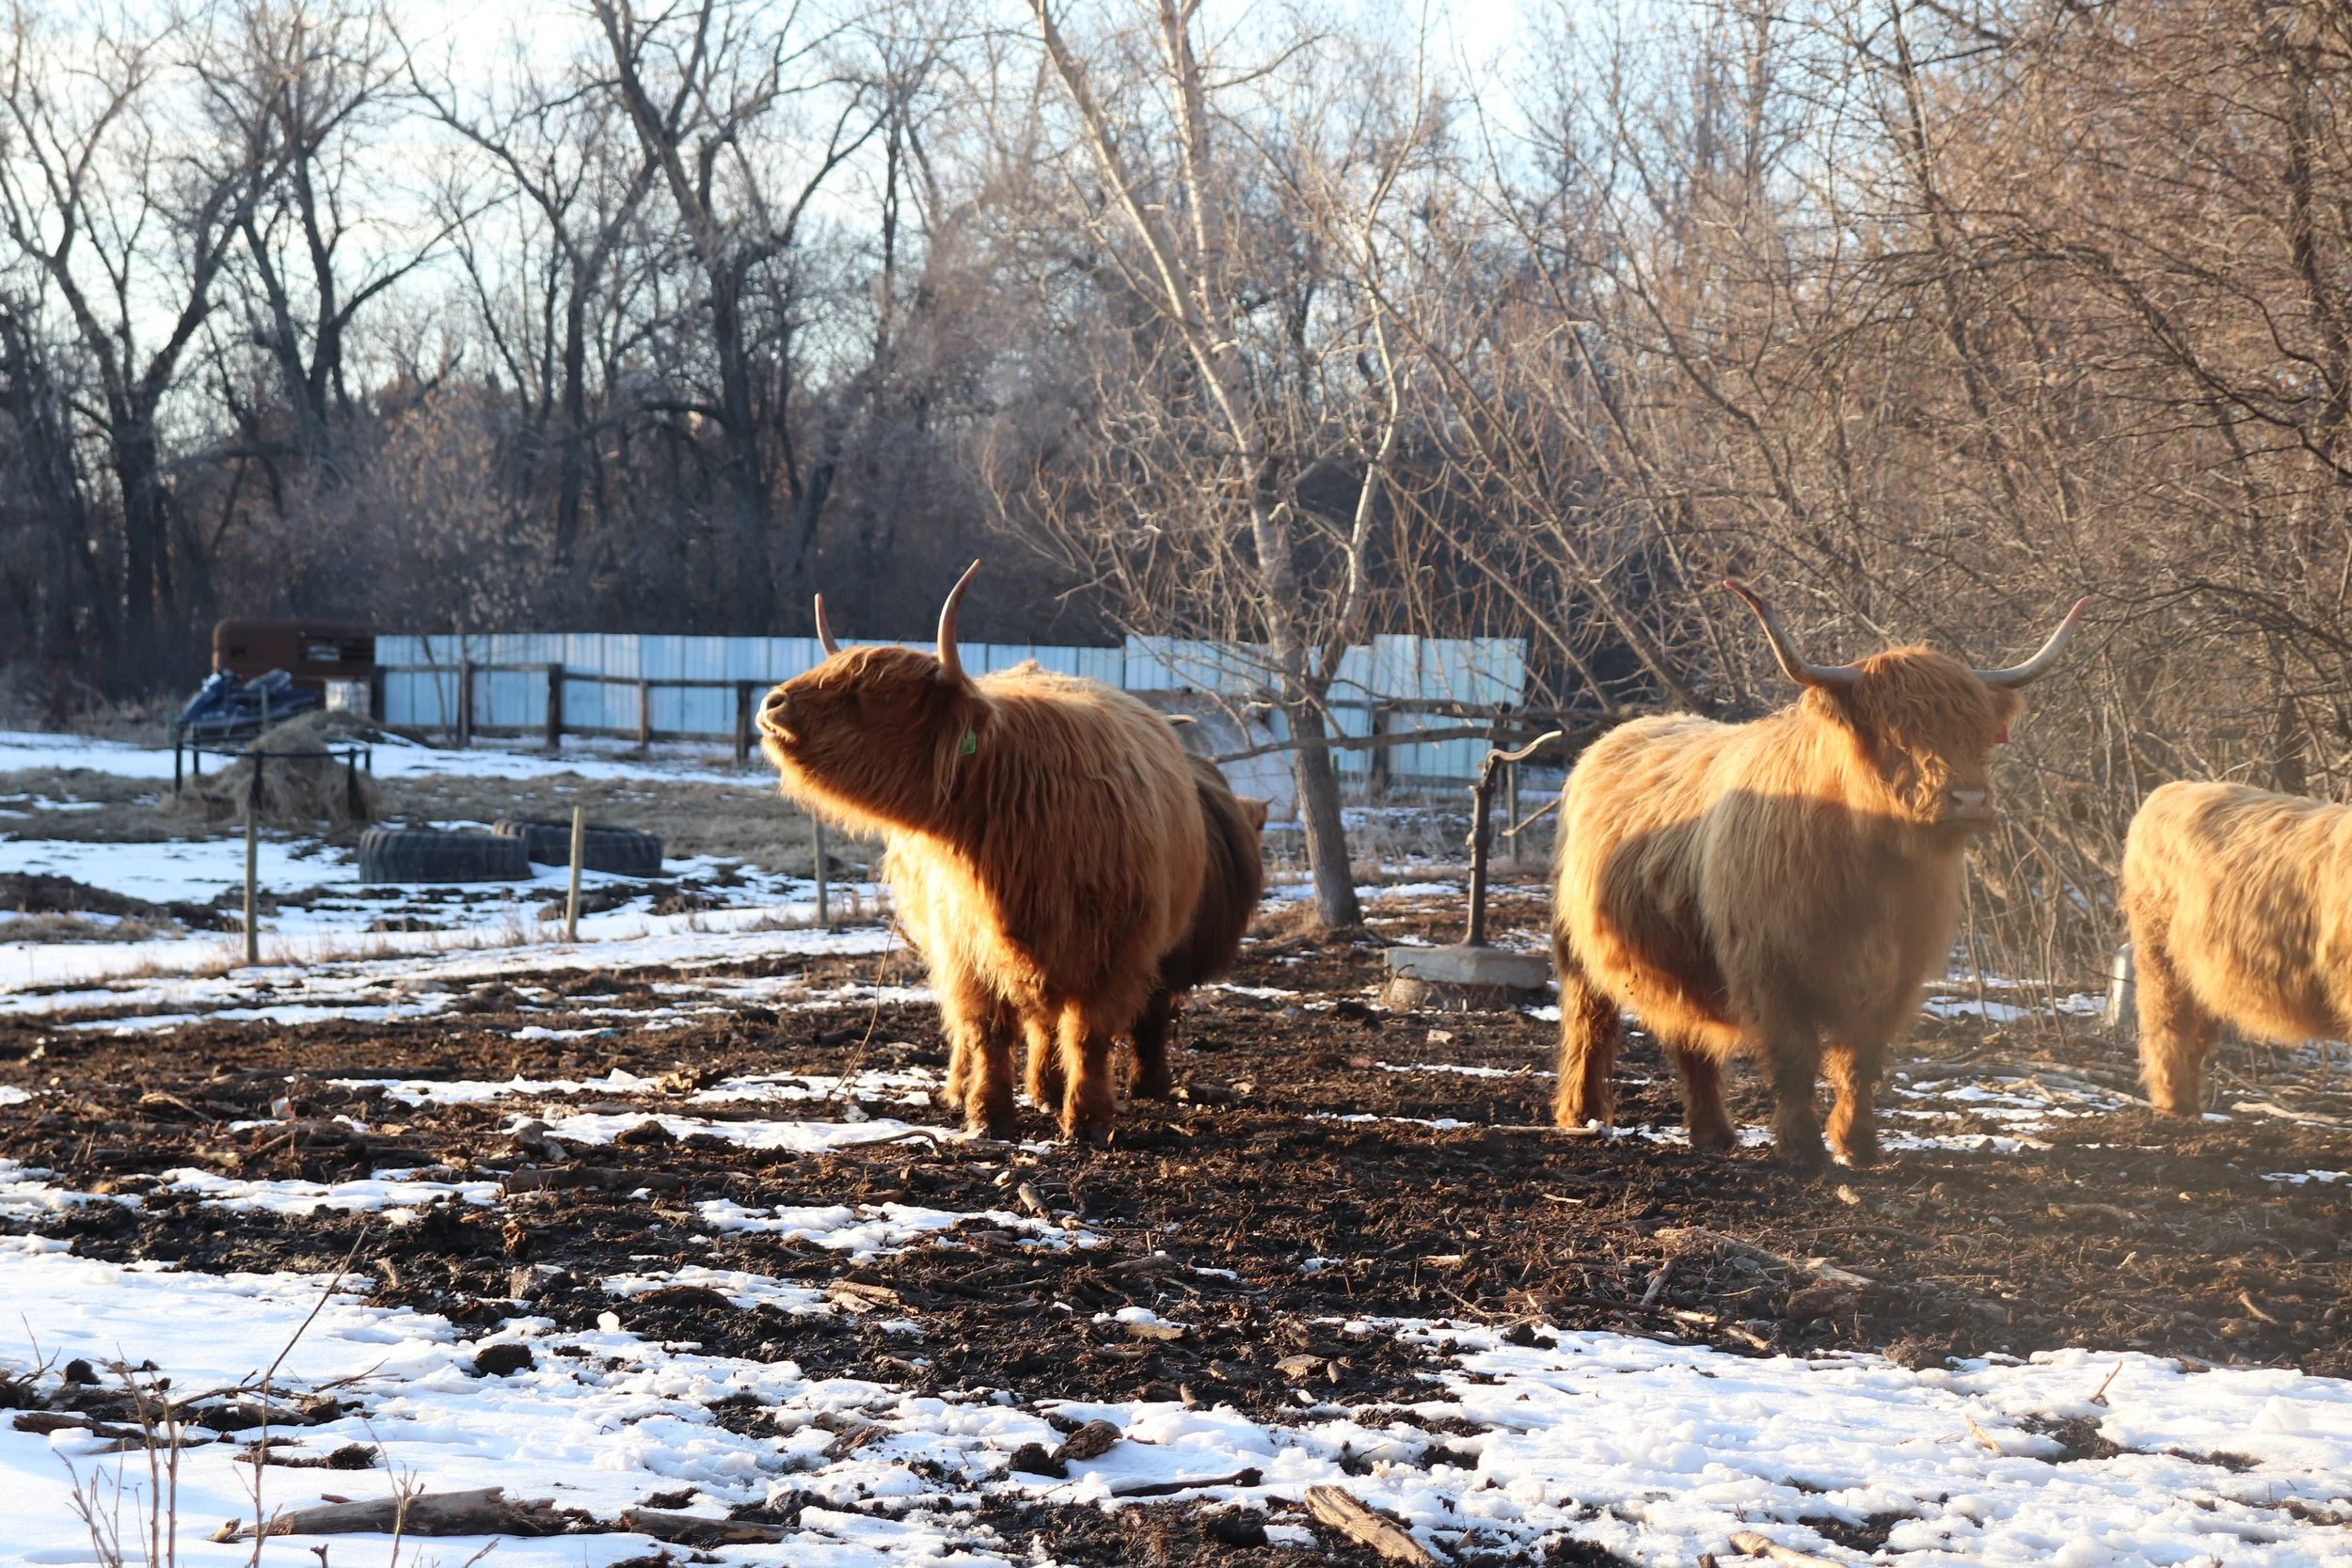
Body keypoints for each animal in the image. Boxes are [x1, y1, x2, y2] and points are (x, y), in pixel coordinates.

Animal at [757, 562, 1206, 1143]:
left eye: (878, 690)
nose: (772, 702)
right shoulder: (963, 946)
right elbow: (987, 1030)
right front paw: (988, 1115)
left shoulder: (1116, 951)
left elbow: (1088, 1035)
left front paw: (1086, 1120)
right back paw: (963, 1089)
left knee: (1049, 1022)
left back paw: (1048, 1092)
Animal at [1550, 581, 2088, 1168]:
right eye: (1897, 735)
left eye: (1978, 735)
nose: (1969, 799)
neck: (1872, 870)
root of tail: (1621, 733)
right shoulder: (1772, 968)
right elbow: (1795, 1058)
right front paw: (1802, 1145)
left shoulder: (1895, 976)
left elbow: (1861, 1061)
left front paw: (1860, 1144)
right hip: (1578, 946)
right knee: (1589, 1023)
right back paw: (1581, 1115)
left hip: (1682, 957)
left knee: (1688, 1037)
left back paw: (1714, 1134)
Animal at [2122, 780, 2352, 1116]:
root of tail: (2173, 789)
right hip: (2159, 952)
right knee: (2166, 1024)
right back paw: (2173, 1105)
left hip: (2199, 972)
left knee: (2195, 1034)